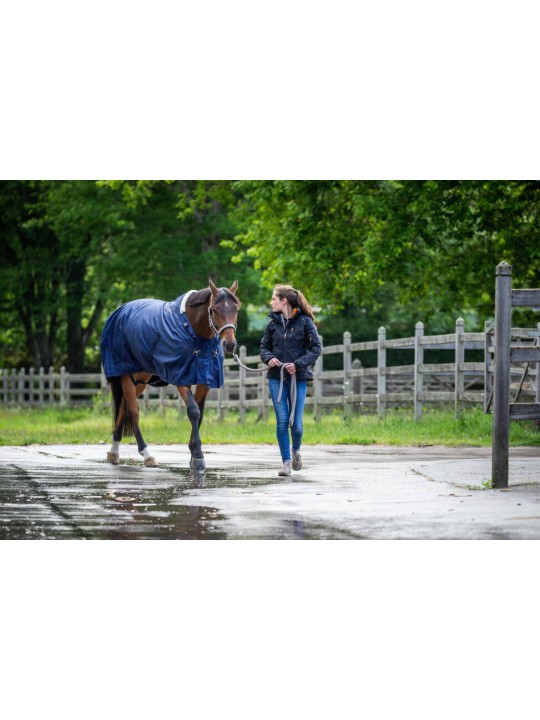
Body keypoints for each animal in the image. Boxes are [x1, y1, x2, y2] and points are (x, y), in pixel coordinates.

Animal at [100, 278, 239, 472]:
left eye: (236, 309)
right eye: (214, 310)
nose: (229, 344)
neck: (193, 333)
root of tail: (119, 312)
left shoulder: (205, 380)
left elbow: (200, 412)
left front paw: (193, 453)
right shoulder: (181, 378)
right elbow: (193, 411)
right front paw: (198, 456)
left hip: (140, 379)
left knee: (123, 408)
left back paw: (114, 451)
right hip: (126, 376)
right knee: (133, 411)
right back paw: (146, 454)